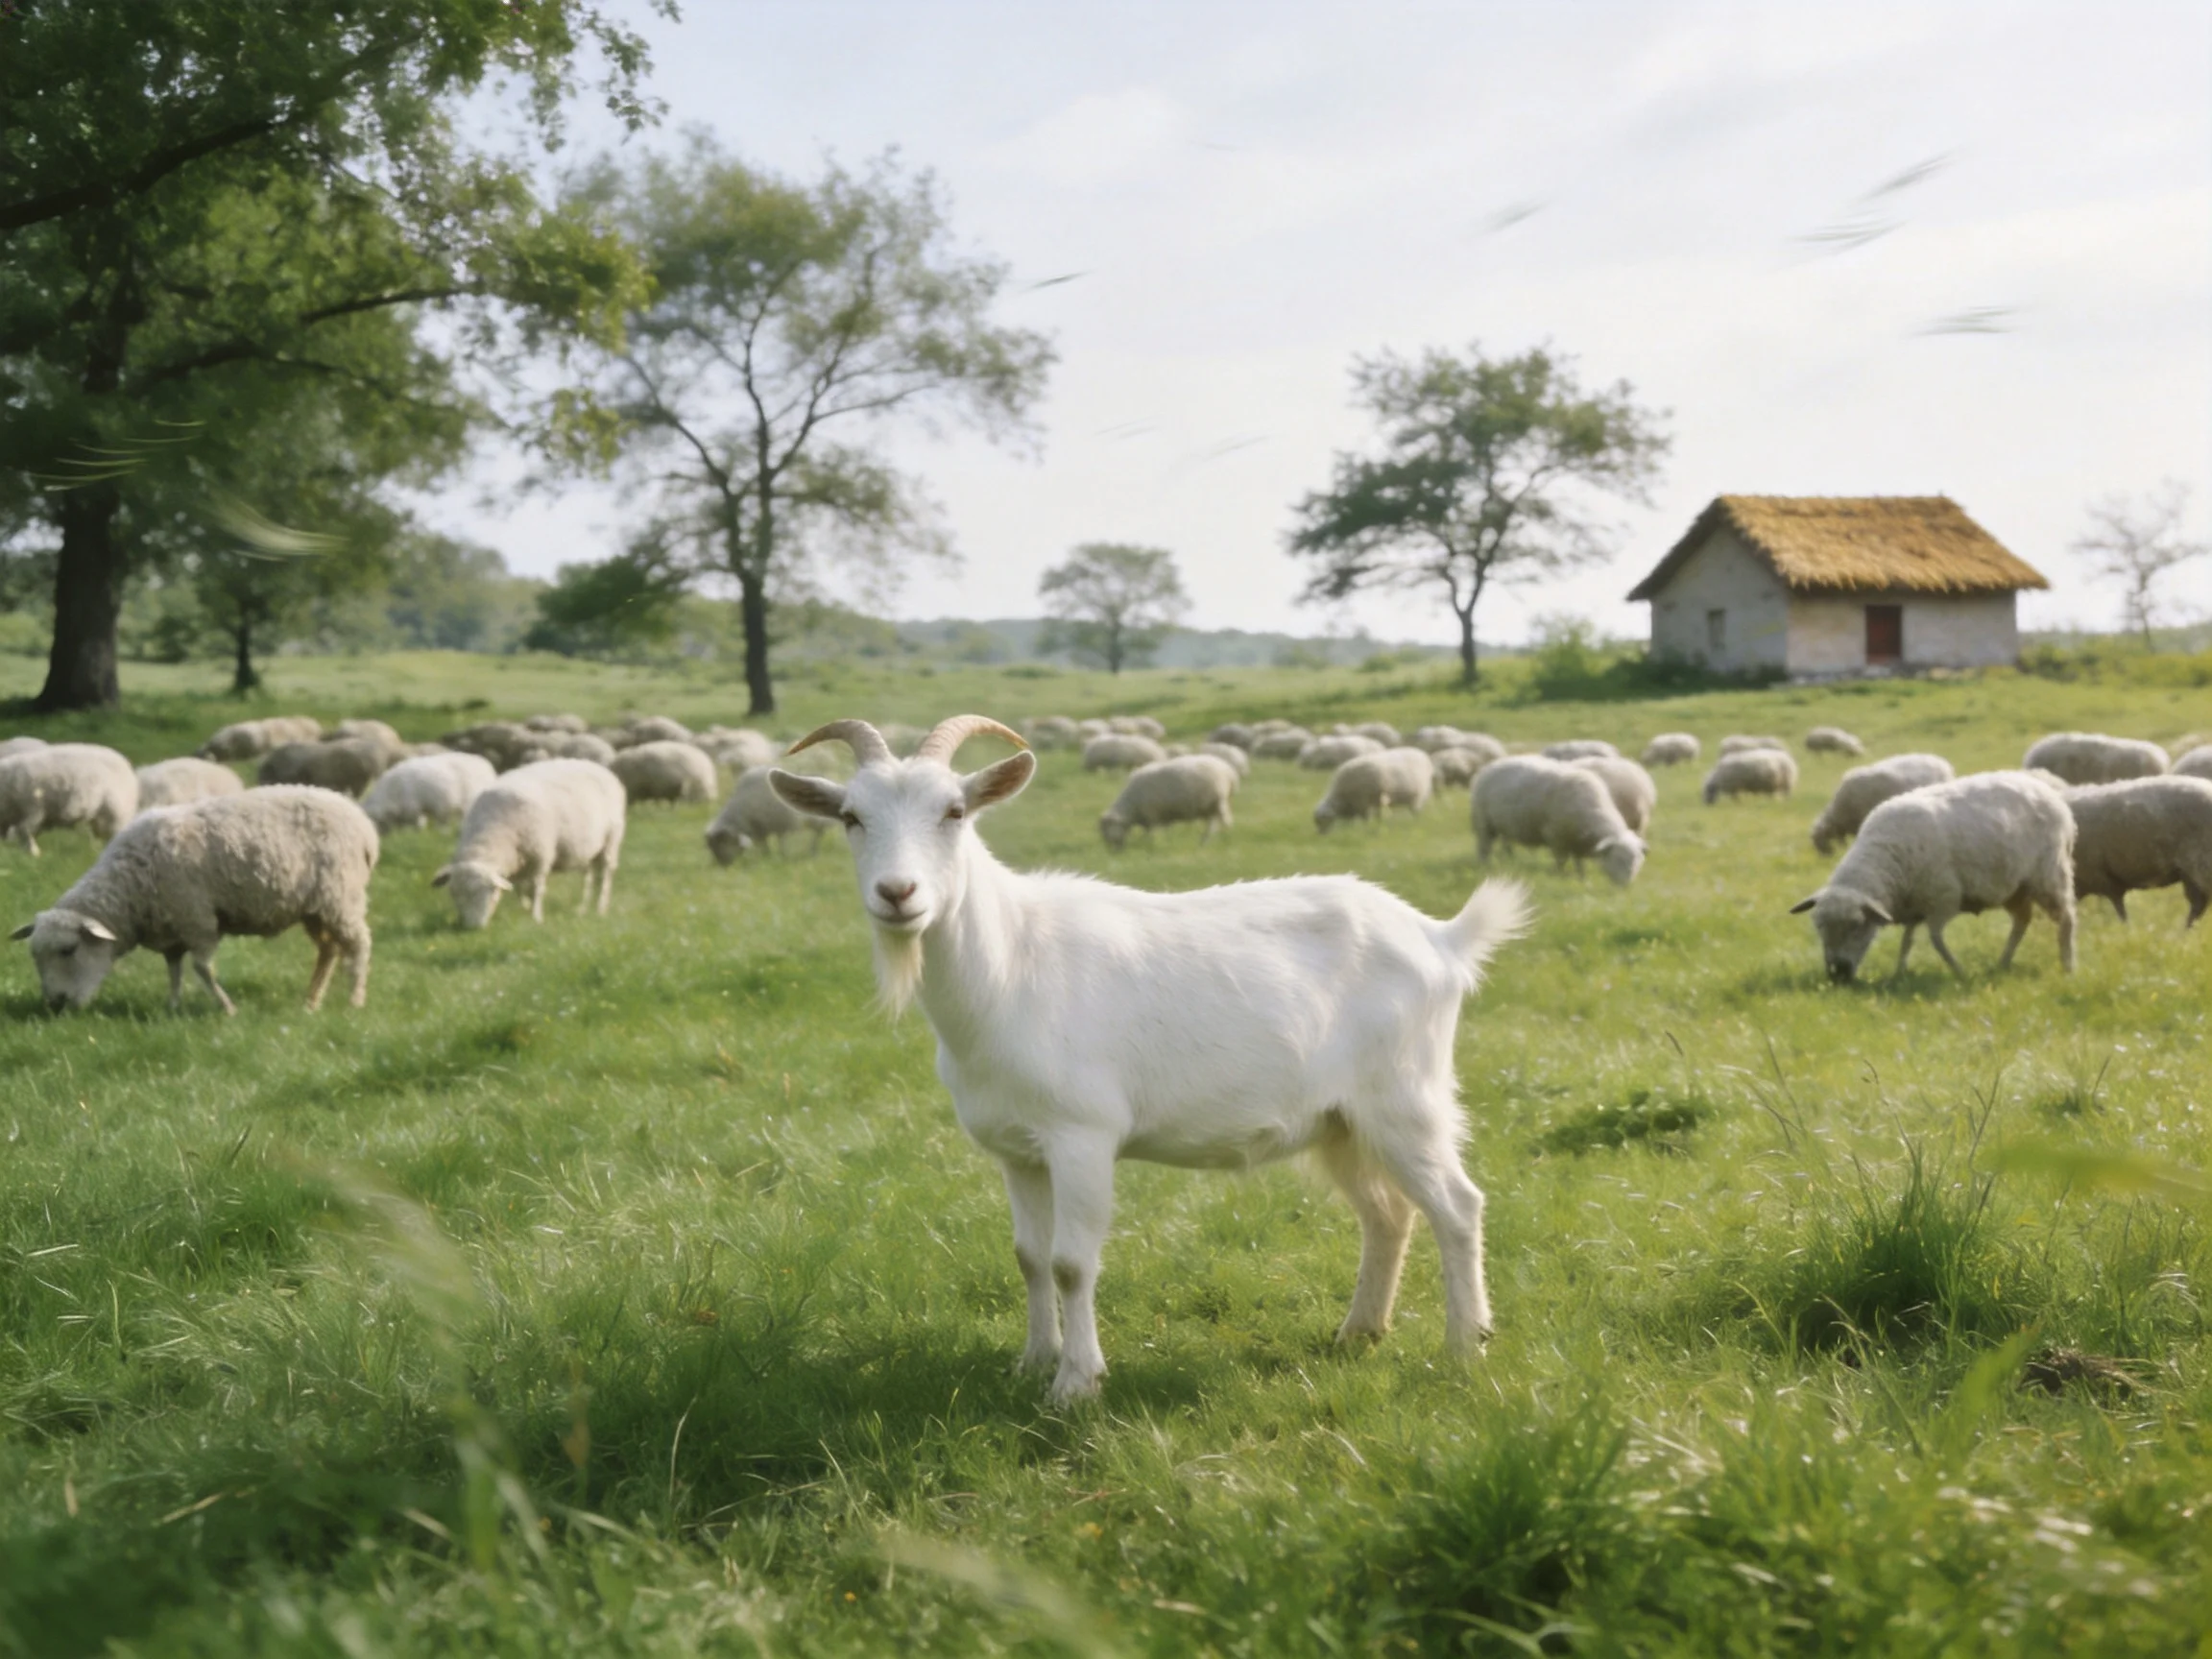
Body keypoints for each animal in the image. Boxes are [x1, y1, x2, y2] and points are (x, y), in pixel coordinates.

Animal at [11, 786, 377, 1013]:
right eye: (34, 956)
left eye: (68, 950)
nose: (55, 1004)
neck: (131, 887)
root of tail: (361, 822)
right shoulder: (171, 930)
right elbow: (173, 970)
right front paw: (172, 1007)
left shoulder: (197, 920)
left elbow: (202, 968)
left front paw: (227, 1008)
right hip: (315, 907)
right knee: (329, 950)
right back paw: (311, 1002)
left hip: (340, 897)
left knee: (358, 945)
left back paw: (355, 1000)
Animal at [433, 759, 626, 929]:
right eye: (454, 894)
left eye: (491, 891)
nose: (472, 928)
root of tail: (600, 767)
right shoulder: (518, 862)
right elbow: (519, 889)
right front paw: (525, 906)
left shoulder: (540, 857)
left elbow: (535, 889)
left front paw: (535, 917)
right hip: (589, 851)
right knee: (590, 876)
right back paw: (583, 908)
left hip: (610, 841)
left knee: (604, 876)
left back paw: (599, 908)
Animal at [1098, 754, 1240, 850]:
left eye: (1107, 830)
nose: (1114, 852)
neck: (1131, 806)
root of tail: (1228, 770)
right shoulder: (1161, 814)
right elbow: (1163, 830)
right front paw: (1165, 841)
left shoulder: (1152, 814)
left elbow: (1151, 833)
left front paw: (1150, 844)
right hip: (1209, 807)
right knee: (1213, 824)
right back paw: (1204, 842)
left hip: (1218, 801)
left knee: (1225, 821)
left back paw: (1226, 838)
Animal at [1470, 756, 1646, 885]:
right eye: (1619, 859)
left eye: (1638, 859)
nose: (1626, 886)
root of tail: (1489, 767)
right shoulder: (1556, 837)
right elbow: (1561, 861)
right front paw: (1560, 877)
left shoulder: (1577, 841)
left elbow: (1579, 863)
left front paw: (1582, 879)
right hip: (1483, 823)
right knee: (1484, 848)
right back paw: (1485, 867)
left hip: (1502, 826)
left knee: (1503, 842)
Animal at [1790, 771, 2075, 982]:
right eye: (1819, 927)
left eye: (1857, 926)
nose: (1837, 975)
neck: (1886, 855)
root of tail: (2051, 794)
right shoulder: (1914, 905)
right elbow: (1907, 941)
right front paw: (1899, 973)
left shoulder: (1942, 899)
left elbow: (1936, 941)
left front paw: (1958, 972)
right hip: (2013, 887)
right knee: (2022, 920)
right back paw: (2003, 963)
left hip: (2049, 874)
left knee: (2066, 919)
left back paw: (2068, 966)